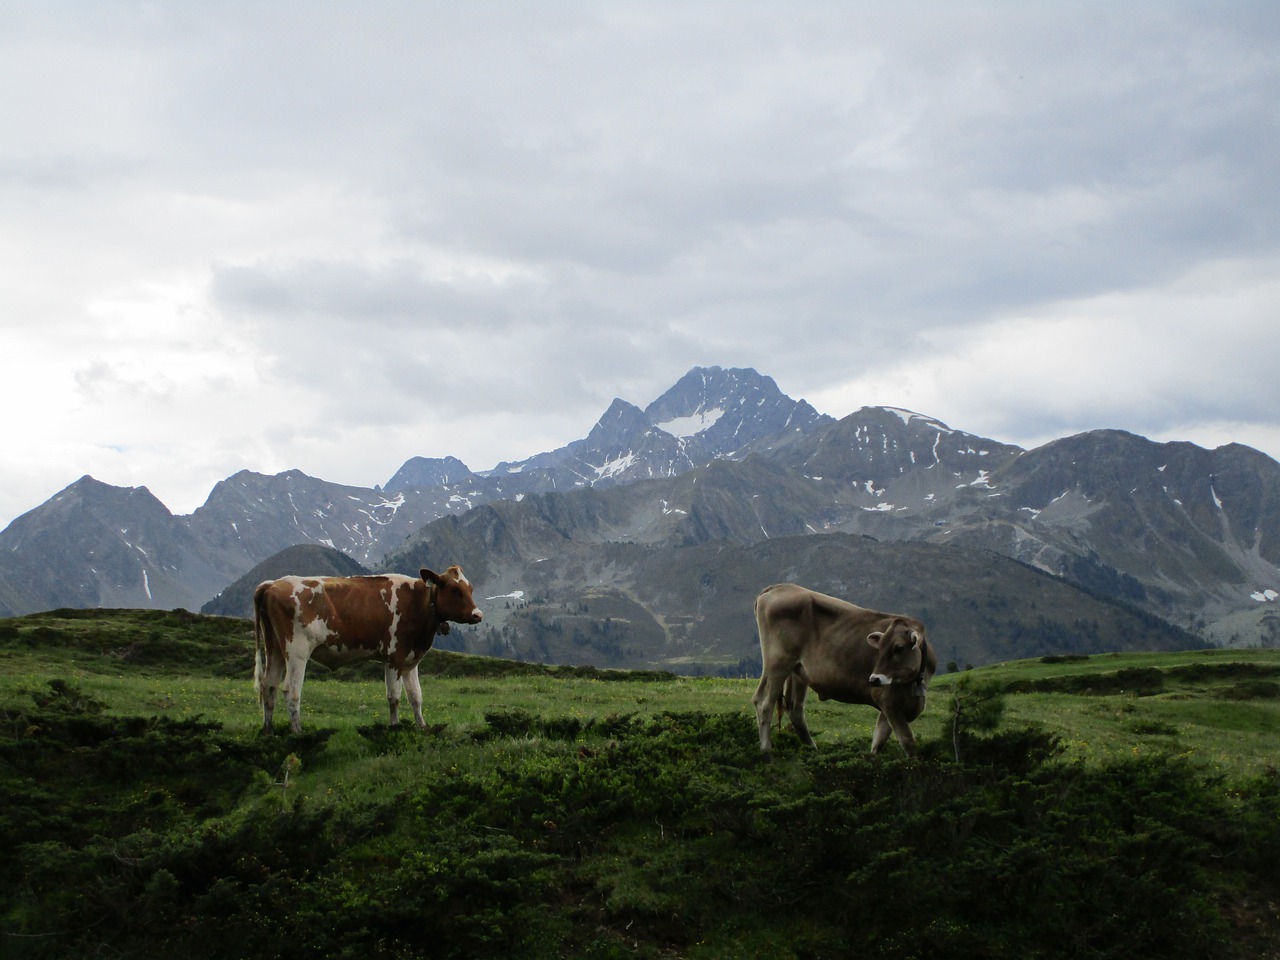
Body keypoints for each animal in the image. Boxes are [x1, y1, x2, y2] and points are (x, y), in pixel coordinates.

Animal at [252, 563, 481, 737]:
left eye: (470, 588)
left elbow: (416, 696)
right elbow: (394, 696)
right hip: (297, 650)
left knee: (269, 685)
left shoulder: (410, 660)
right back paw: (297, 732)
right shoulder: (394, 656)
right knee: (291, 690)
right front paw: (395, 727)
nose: (478, 614)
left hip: (274, 647)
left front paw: (422, 726)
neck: (419, 603)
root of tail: (272, 584)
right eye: (454, 590)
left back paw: (269, 732)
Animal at [747, 583, 942, 757]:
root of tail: (778, 587)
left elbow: (878, 741)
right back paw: (766, 751)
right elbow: (907, 742)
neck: (914, 682)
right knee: (764, 702)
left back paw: (812, 750)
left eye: (899, 647)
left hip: (798, 671)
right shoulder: (887, 699)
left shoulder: (891, 707)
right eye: (879, 648)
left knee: (795, 708)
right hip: (778, 662)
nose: (874, 679)